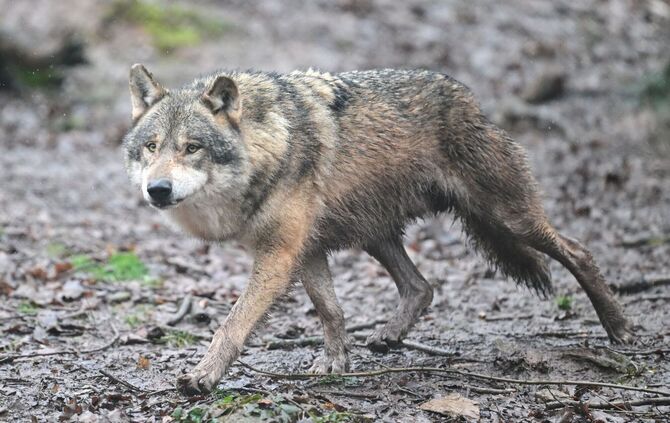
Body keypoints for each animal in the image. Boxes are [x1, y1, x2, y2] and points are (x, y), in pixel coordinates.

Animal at [123, 64, 633, 395]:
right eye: (151, 147)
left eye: (192, 148)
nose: (158, 189)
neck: (268, 145)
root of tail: (470, 100)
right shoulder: (306, 250)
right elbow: (330, 310)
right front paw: (335, 362)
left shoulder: (279, 255)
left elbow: (232, 325)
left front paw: (203, 376)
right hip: (376, 234)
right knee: (422, 287)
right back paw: (389, 335)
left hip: (508, 218)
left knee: (578, 250)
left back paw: (619, 329)